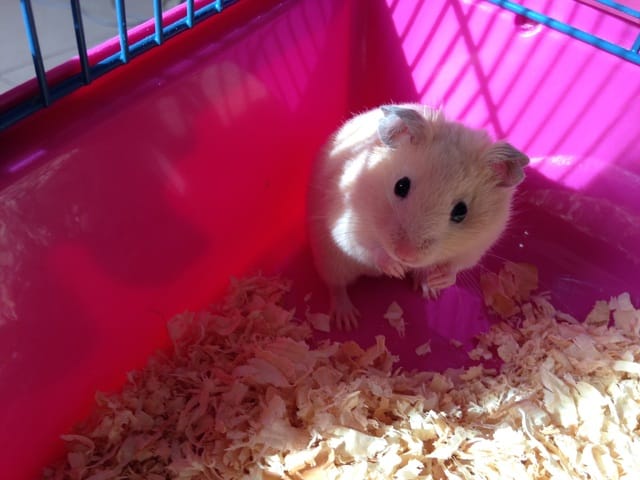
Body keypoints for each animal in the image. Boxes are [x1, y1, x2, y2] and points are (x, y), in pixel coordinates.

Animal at [306, 104, 529, 330]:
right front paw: (396, 270)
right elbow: (367, 249)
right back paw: (347, 321)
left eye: (461, 211)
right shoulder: (346, 224)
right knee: (336, 286)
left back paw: (428, 286)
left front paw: (437, 280)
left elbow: (454, 267)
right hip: (330, 260)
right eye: (400, 186)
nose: (405, 256)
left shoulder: (477, 246)